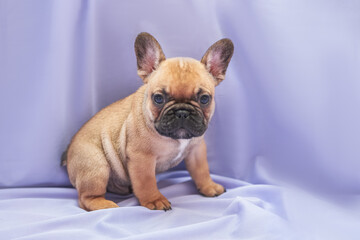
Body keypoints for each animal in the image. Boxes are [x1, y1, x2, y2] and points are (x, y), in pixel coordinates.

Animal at [62, 32, 233, 211]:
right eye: (158, 98)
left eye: (205, 99)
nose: (182, 112)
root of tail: (68, 152)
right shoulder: (141, 158)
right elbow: (146, 182)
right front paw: (155, 199)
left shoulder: (196, 150)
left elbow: (202, 171)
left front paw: (209, 187)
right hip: (96, 166)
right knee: (85, 198)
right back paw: (105, 204)